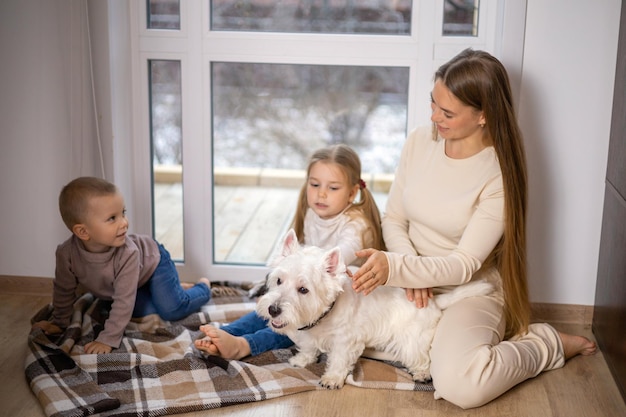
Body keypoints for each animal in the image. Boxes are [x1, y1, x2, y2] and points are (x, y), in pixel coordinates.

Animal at [254, 229, 492, 388]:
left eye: (303, 289)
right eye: (279, 280)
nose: (273, 309)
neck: (326, 314)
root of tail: (435, 302)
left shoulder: (346, 341)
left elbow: (339, 359)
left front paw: (332, 378)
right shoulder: (311, 335)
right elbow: (309, 348)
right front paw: (301, 360)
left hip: (413, 338)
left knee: (420, 356)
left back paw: (421, 374)